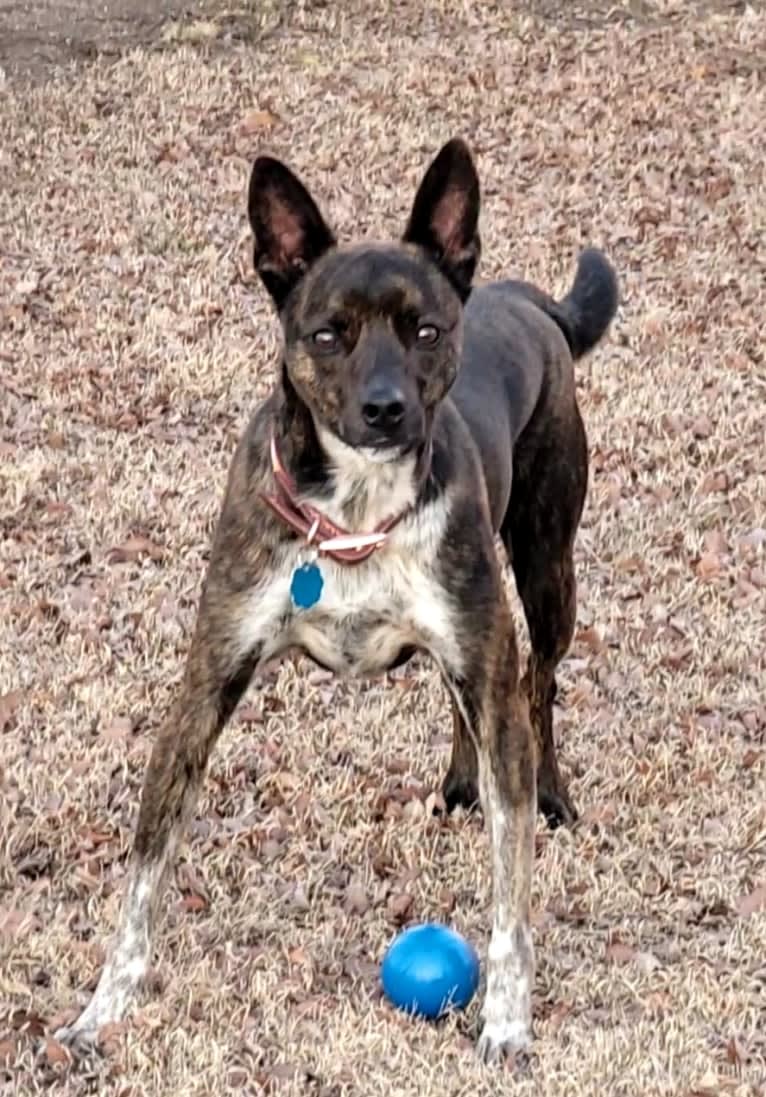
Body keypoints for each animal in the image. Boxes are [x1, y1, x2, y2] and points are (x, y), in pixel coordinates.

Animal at [55, 137, 614, 1061]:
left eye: (426, 331)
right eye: (327, 333)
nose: (384, 409)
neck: (353, 513)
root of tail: (526, 297)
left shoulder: (490, 674)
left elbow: (511, 886)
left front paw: (506, 1019)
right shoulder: (204, 687)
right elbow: (143, 878)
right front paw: (104, 1006)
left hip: (545, 569)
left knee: (539, 679)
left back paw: (551, 786)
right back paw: (458, 781)